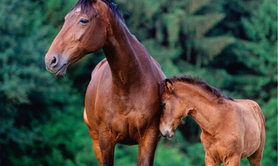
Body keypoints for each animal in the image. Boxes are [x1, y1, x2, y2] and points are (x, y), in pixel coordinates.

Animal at [44, 0, 165, 165]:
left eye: (83, 20)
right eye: (65, 18)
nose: (51, 60)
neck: (129, 85)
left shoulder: (149, 138)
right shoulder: (106, 140)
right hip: (96, 141)